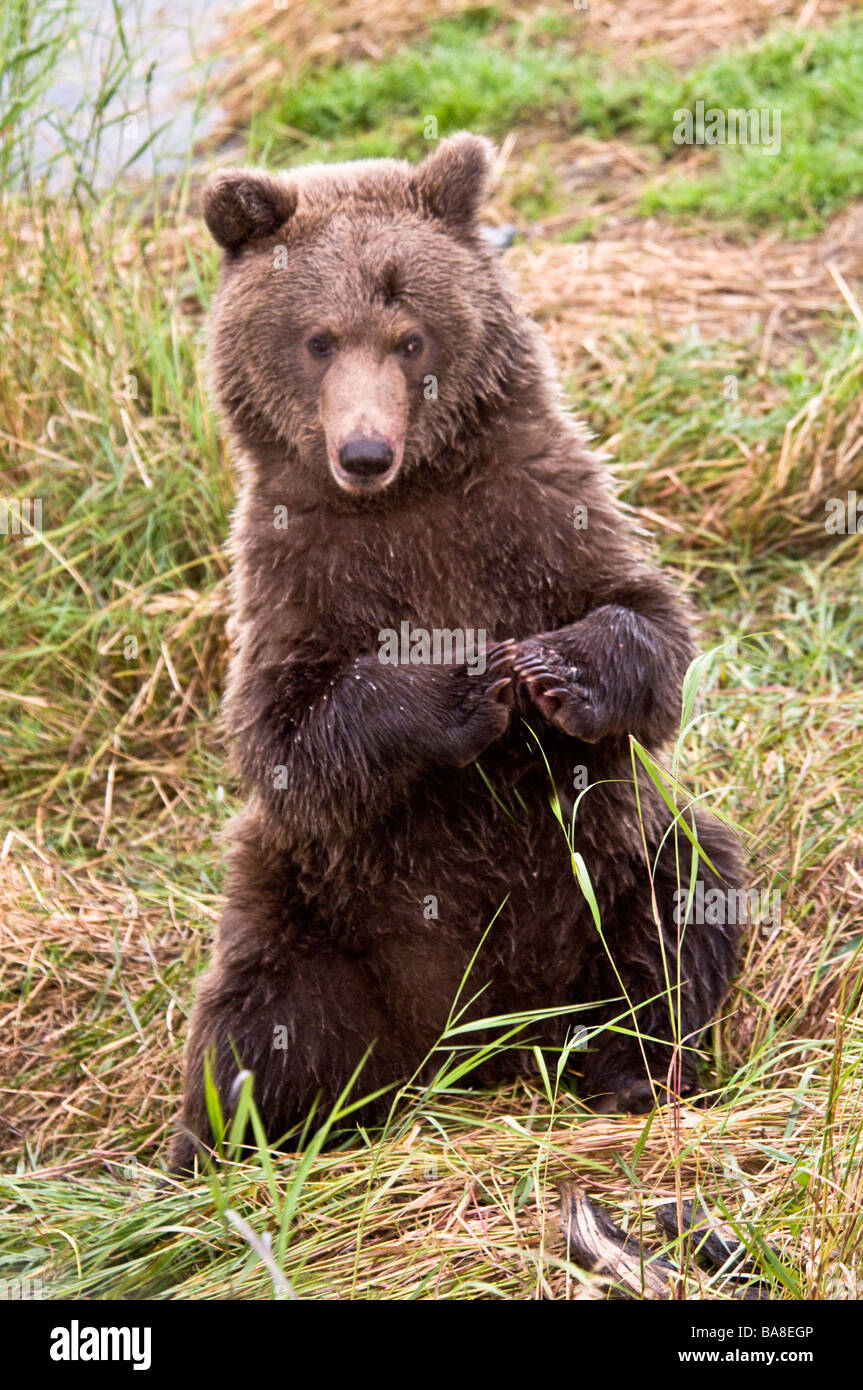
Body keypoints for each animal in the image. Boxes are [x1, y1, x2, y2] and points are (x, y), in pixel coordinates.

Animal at [170, 132, 739, 1173]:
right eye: (318, 338)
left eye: (410, 338)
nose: (363, 451)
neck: (408, 502)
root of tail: (480, 1046)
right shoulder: (293, 571)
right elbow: (284, 735)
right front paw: (461, 683)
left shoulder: (541, 507)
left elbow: (650, 625)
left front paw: (556, 670)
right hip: (313, 908)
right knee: (260, 1018)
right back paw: (229, 1148)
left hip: (611, 860)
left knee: (683, 909)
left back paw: (631, 1071)